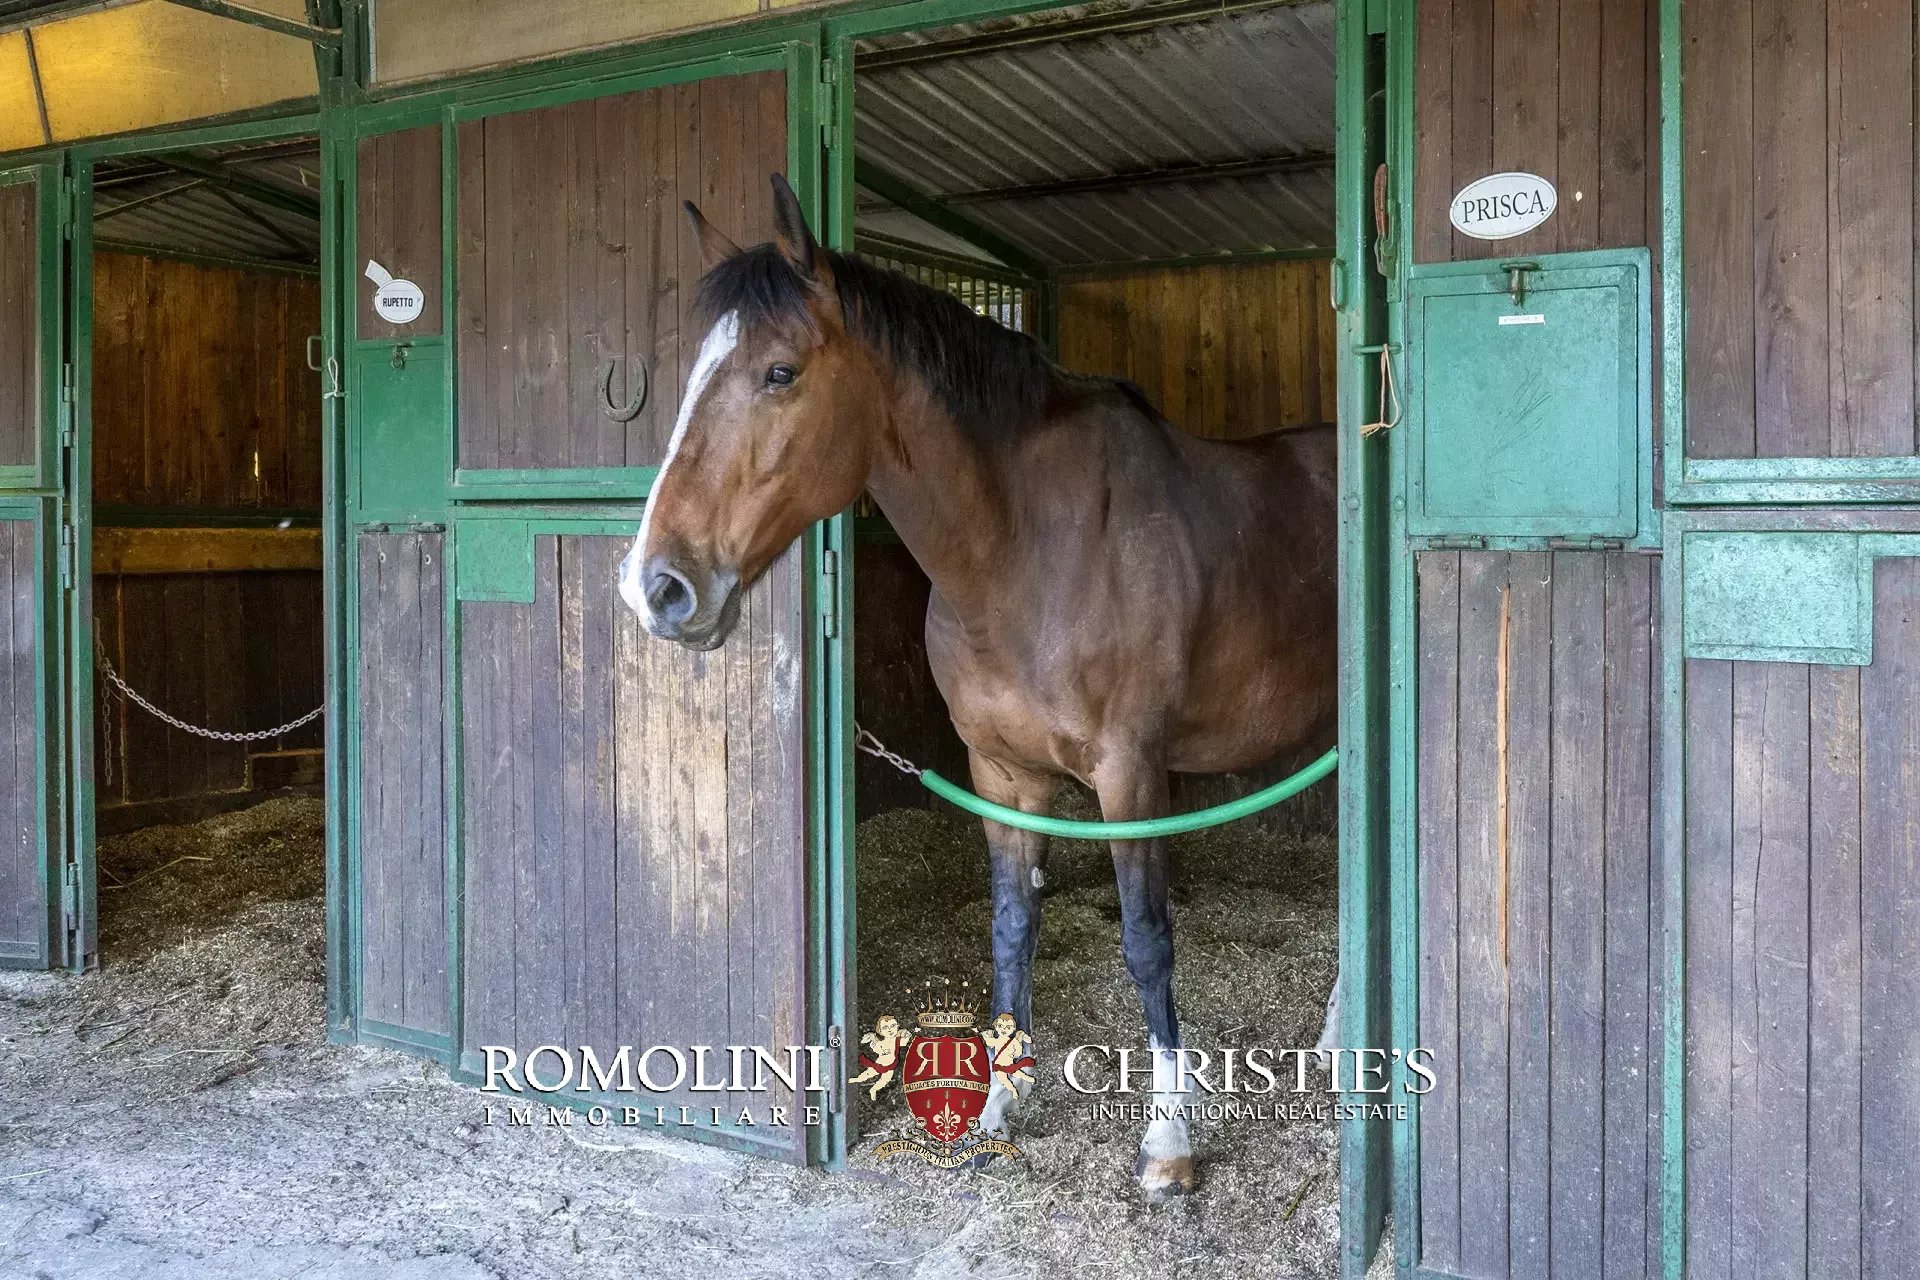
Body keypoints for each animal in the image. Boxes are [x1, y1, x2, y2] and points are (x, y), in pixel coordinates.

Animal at [619, 174, 1338, 1199]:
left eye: (780, 373)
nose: (659, 588)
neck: (1027, 552)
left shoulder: (1132, 776)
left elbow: (1146, 939)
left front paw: (1168, 1144)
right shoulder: (999, 774)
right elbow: (1010, 928)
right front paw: (1000, 1099)